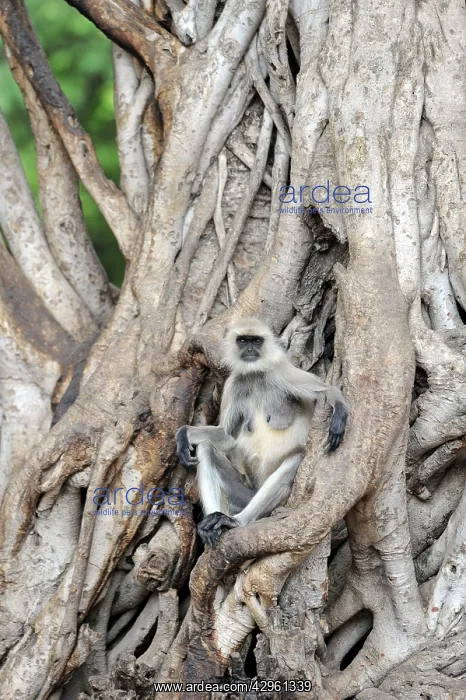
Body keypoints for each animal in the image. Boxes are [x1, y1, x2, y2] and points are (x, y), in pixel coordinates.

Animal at [176, 318, 348, 546]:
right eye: (243, 341)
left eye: (256, 341)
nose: (249, 349)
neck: (255, 374)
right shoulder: (234, 383)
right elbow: (226, 436)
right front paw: (183, 434)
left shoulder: (280, 370)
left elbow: (327, 391)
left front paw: (339, 414)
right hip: (244, 494)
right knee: (206, 448)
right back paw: (212, 523)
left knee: (294, 460)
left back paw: (236, 521)